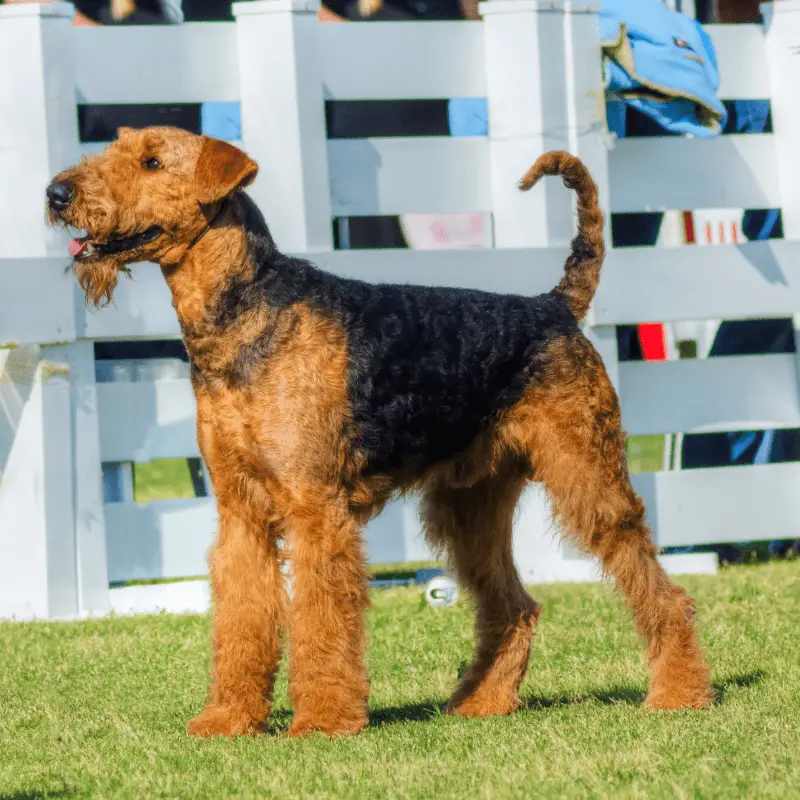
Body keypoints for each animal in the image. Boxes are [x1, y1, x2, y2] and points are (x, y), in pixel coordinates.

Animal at [48, 126, 712, 736]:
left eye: (152, 161)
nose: (57, 193)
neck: (242, 316)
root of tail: (553, 307)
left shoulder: (315, 509)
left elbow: (319, 620)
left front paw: (321, 721)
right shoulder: (241, 513)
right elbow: (243, 619)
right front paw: (228, 719)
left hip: (588, 475)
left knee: (662, 591)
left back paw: (678, 694)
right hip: (468, 505)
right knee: (515, 607)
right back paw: (482, 703)